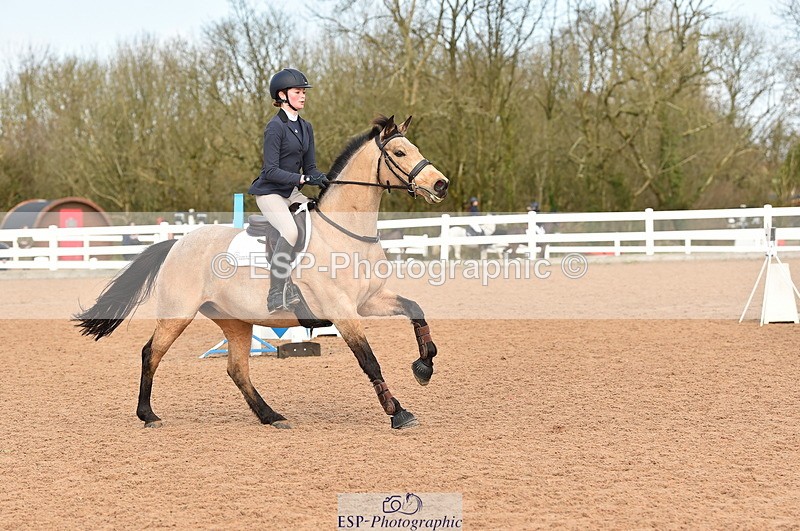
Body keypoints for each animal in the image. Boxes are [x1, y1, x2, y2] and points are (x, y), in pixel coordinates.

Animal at [74, 115, 449, 430]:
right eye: (399, 152)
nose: (441, 184)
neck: (345, 233)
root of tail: (177, 243)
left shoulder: (369, 301)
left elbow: (416, 310)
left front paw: (424, 368)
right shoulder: (343, 311)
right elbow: (369, 361)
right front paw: (397, 411)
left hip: (235, 321)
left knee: (237, 369)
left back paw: (272, 416)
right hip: (178, 314)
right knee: (151, 353)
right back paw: (148, 415)